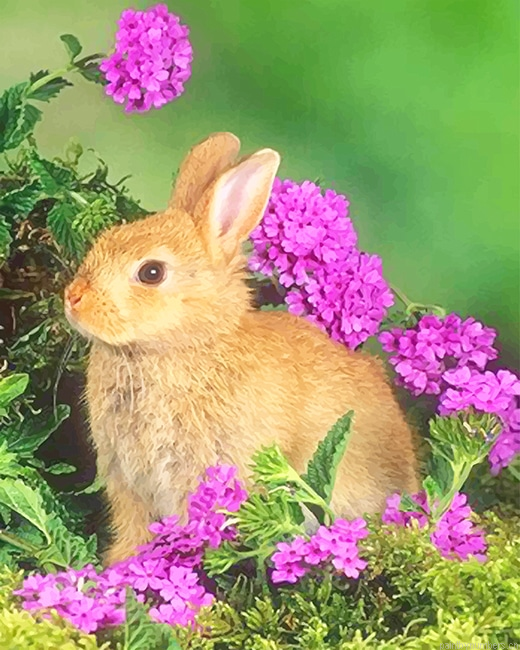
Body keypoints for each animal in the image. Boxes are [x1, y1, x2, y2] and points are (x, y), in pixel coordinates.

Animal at [64, 132, 419, 565]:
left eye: (151, 273)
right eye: (103, 240)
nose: (73, 298)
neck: (184, 345)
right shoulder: (128, 483)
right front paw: (118, 565)